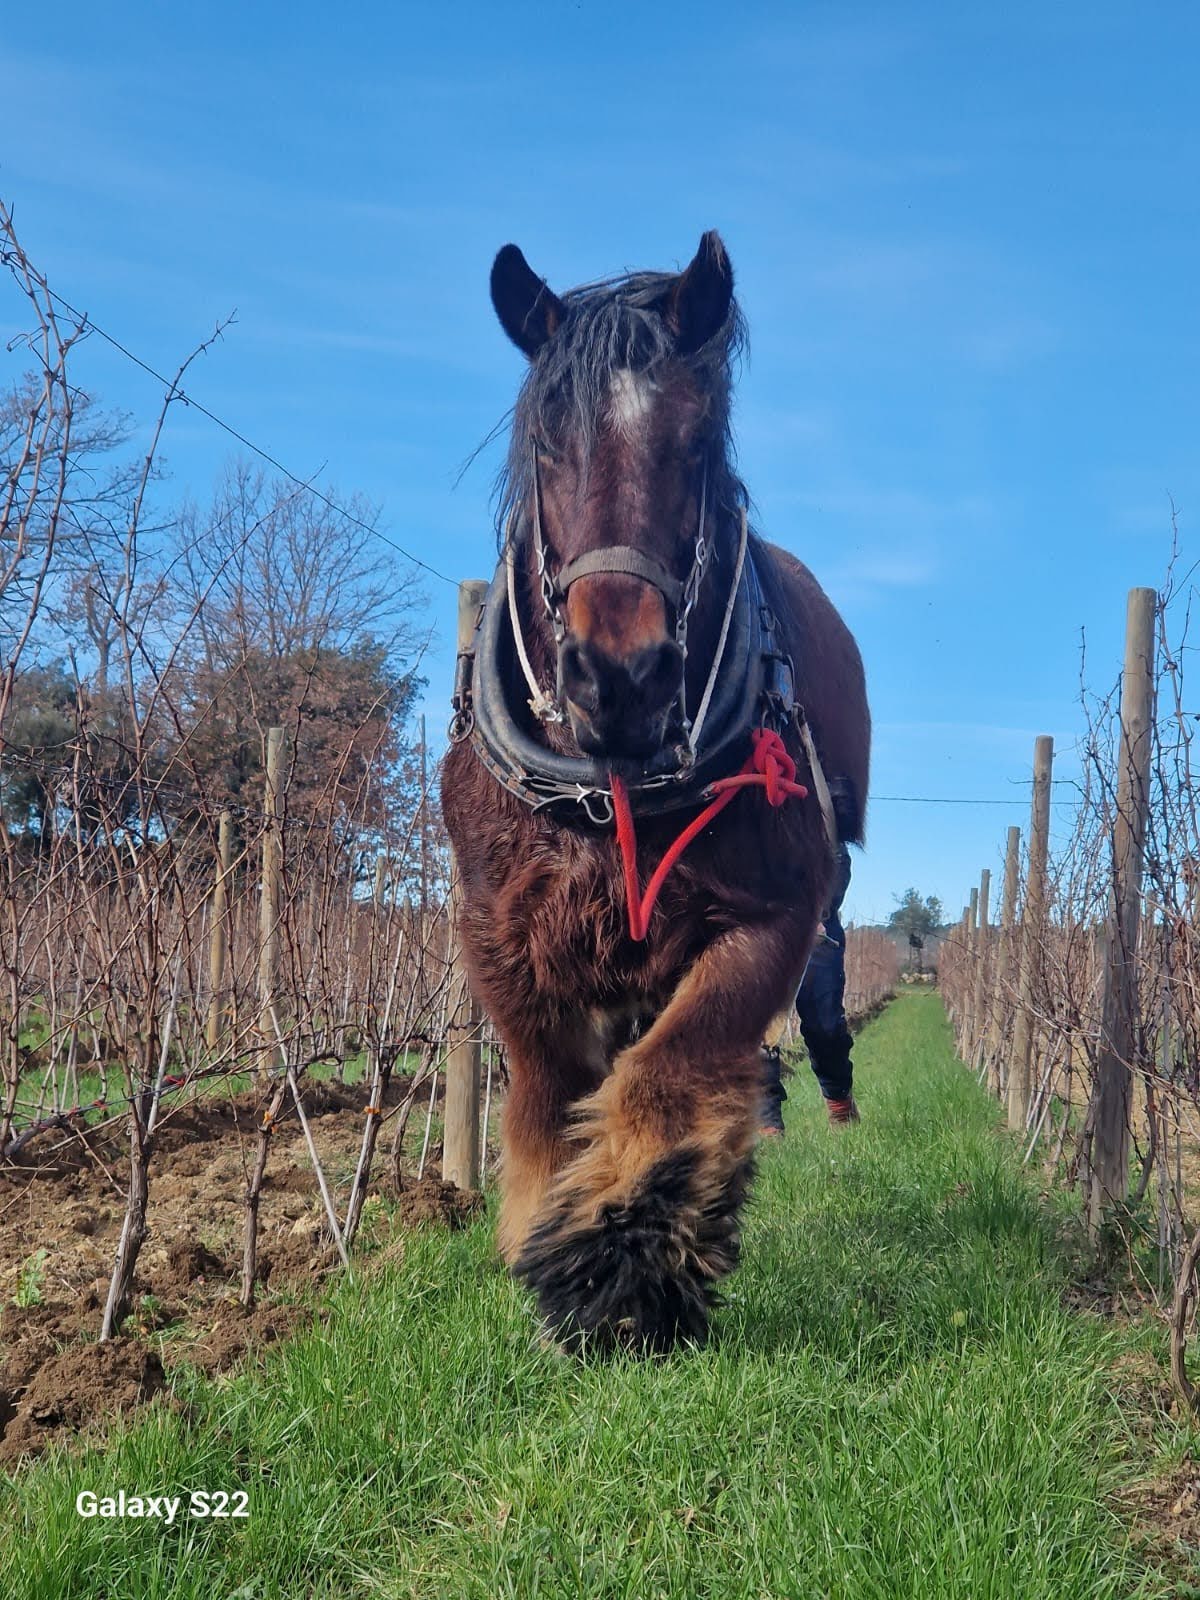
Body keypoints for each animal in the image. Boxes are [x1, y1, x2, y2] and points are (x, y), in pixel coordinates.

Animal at [444, 228, 876, 1350]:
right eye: (548, 445)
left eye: (696, 445)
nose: (622, 674)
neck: (611, 789)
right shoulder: (502, 931)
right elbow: (546, 1092)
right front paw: (541, 1229)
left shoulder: (772, 914)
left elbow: (674, 1071)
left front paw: (623, 1257)